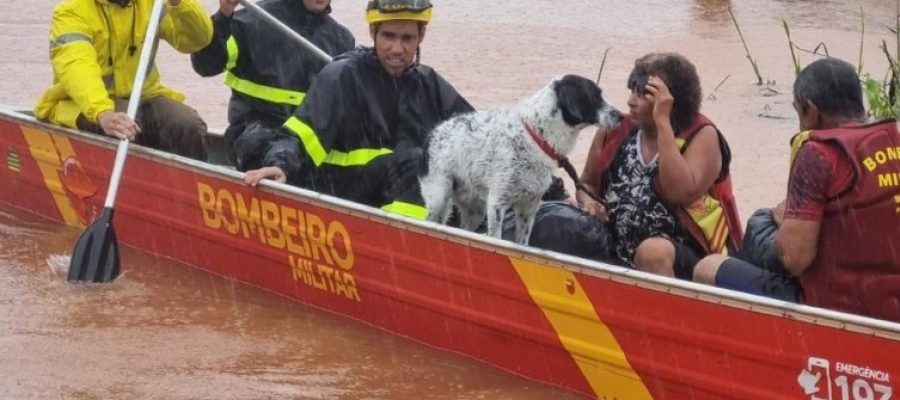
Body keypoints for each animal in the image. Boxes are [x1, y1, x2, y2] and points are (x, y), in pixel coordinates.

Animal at [420, 74, 620, 244]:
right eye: (594, 96)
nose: (621, 115)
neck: (536, 136)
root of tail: (433, 132)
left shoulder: (528, 208)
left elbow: (522, 243)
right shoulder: (497, 203)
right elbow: (496, 238)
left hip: (475, 209)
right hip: (439, 196)